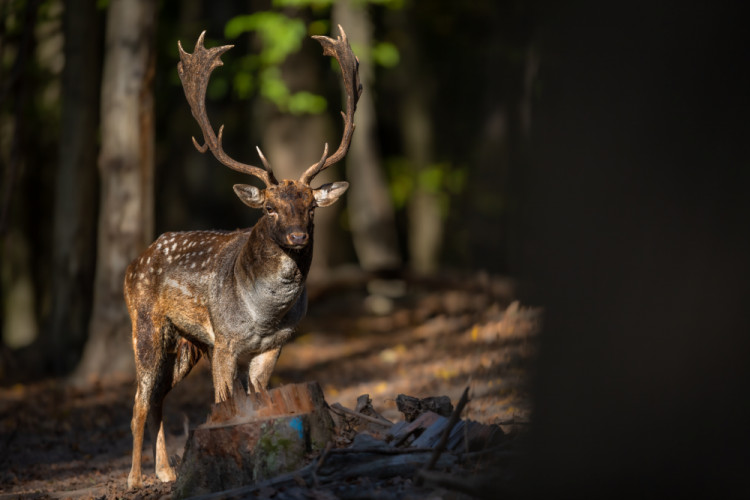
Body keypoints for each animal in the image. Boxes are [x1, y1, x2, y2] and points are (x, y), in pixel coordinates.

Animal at [125, 26, 362, 488]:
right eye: (269, 207)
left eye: (311, 206)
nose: (297, 236)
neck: (265, 314)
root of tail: (134, 262)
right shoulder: (225, 343)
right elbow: (224, 402)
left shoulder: (273, 347)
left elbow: (258, 398)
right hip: (146, 324)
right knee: (140, 400)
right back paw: (134, 479)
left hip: (186, 343)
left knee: (159, 397)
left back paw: (166, 472)